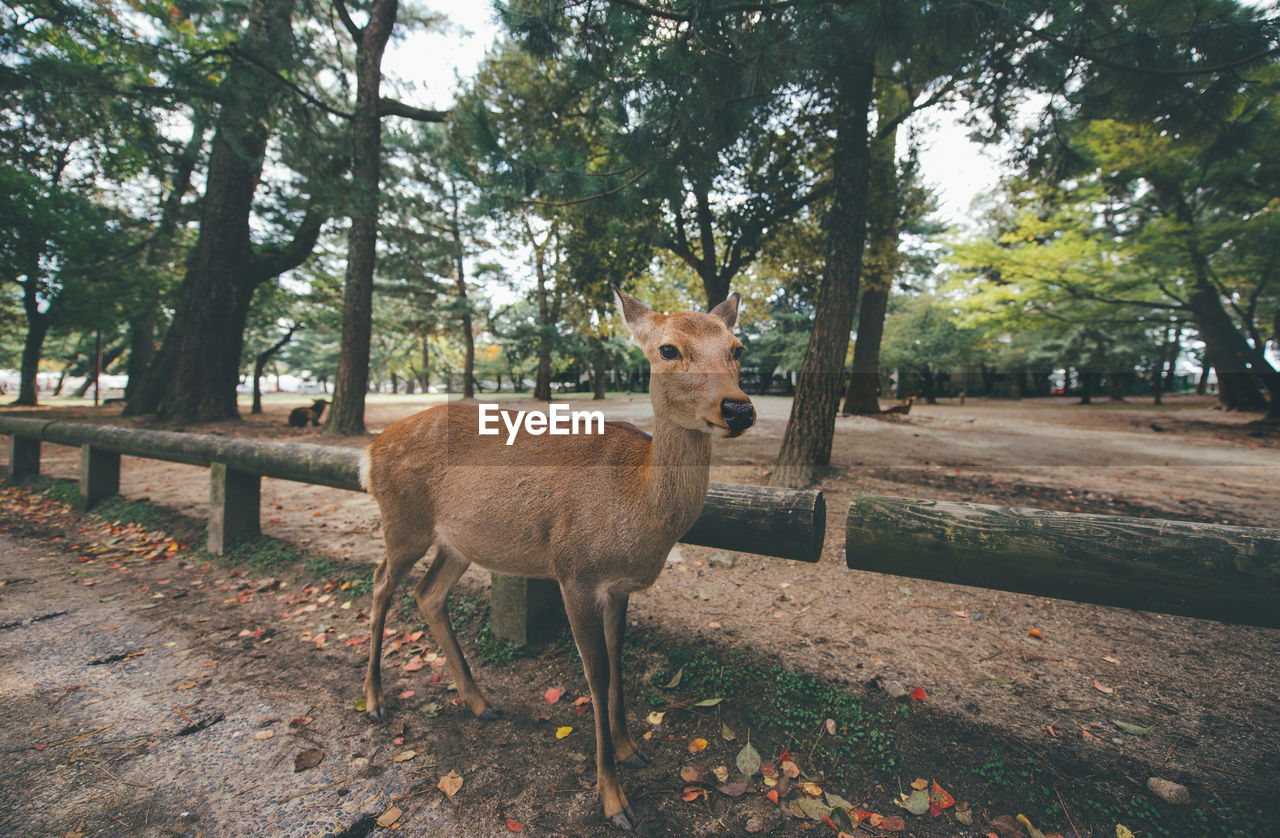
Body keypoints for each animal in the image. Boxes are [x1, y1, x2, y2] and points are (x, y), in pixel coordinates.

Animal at [360, 289, 752, 834]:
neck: (636, 509)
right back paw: (375, 701)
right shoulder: (575, 571)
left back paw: (481, 703)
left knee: (427, 592)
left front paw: (632, 749)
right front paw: (614, 799)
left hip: (457, 541)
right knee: (380, 584)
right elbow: (596, 673)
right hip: (403, 521)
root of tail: (369, 449)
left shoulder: (619, 587)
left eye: (737, 348)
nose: (737, 408)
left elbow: (619, 660)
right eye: (668, 349)